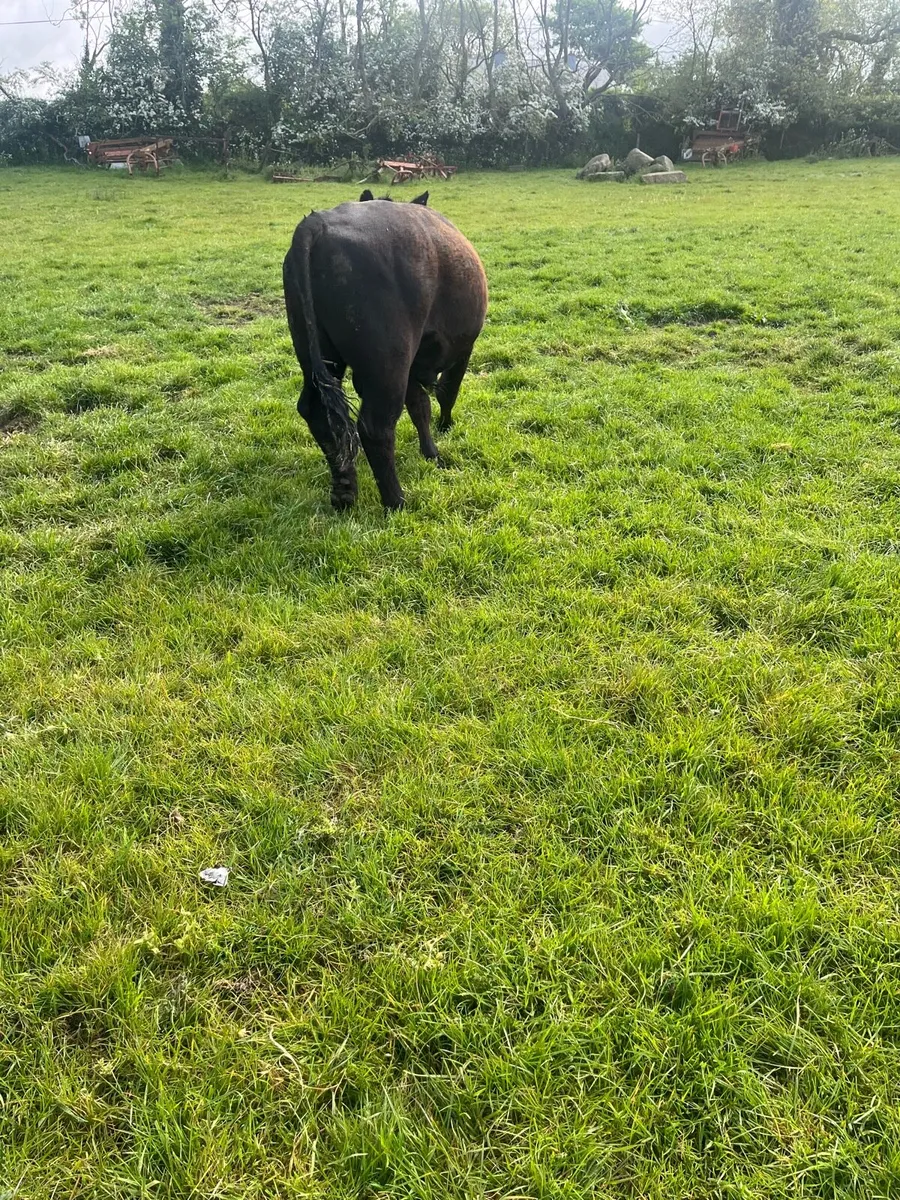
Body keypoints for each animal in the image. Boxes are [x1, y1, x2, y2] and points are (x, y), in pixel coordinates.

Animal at [283, 195, 487, 510]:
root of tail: (315, 223)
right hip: (388, 365)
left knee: (316, 411)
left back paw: (344, 492)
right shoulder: (461, 351)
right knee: (375, 428)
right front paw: (445, 428)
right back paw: (396, 501)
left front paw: (431, 452)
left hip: (316, 354)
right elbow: (446, 394)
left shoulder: (413, 368)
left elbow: (420, 406)